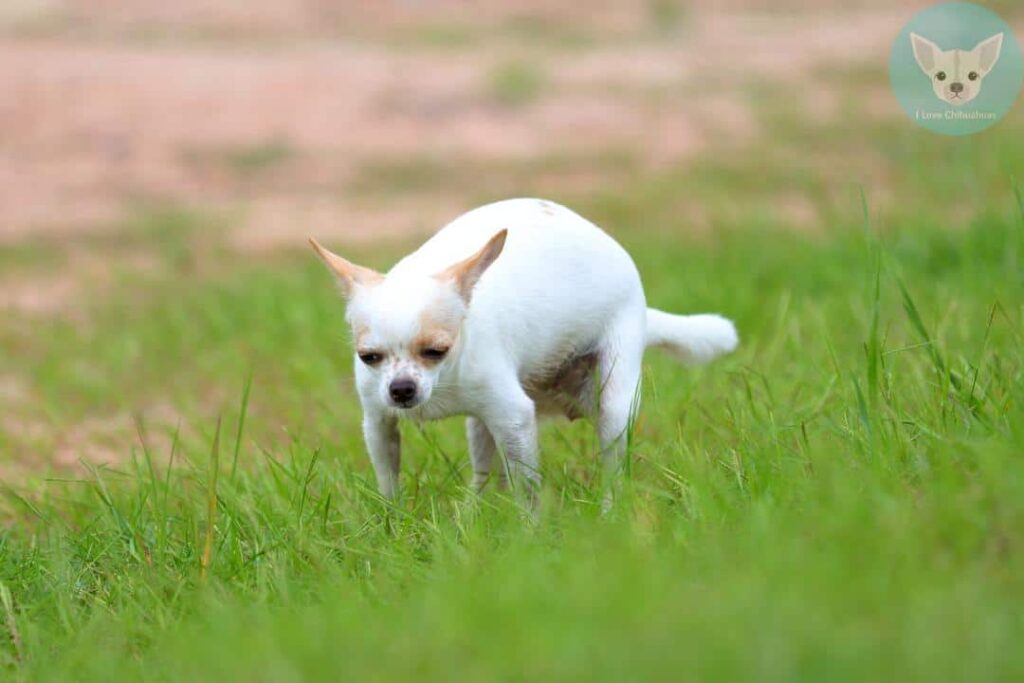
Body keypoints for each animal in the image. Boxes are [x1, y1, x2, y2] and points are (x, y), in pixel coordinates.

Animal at [309, 197, 737, 501]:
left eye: (436, 351)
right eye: (368, 357)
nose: (401, 389)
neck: (443, 384)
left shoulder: (515, 418)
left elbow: (527, 491)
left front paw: (529, 539)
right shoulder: (378, 423)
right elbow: (388, 481)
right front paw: (392, 524)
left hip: (614, 397)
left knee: (613, 465)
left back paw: (611, 514)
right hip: (484, 423)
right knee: (483, 468)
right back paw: (474, 514)